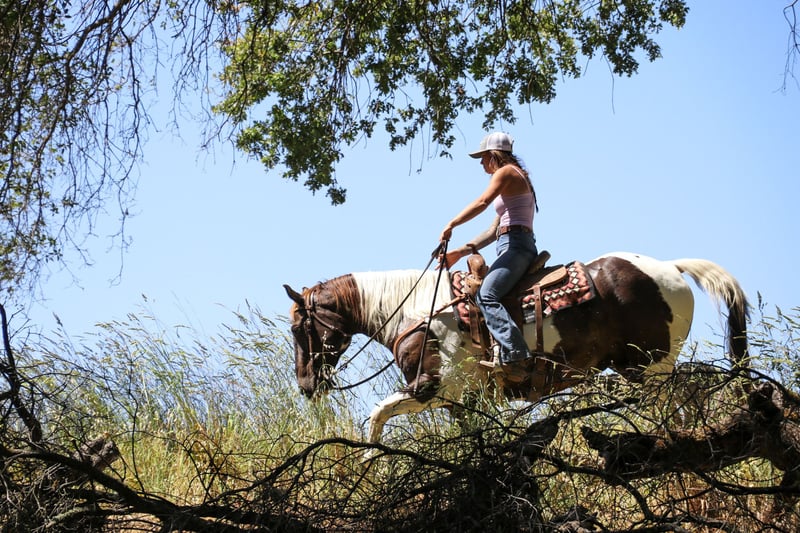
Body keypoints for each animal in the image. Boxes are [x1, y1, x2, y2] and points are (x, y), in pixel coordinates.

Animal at [284, 252, 749, 443]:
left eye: (298, 329)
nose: (305, 385)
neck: (417, 312)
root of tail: (671, 268)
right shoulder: (462, 401)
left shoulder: (433, 387)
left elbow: (377, 415)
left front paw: (368, 463)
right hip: (648, 369)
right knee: (690, 395)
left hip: (650, 369)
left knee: (679, 404)